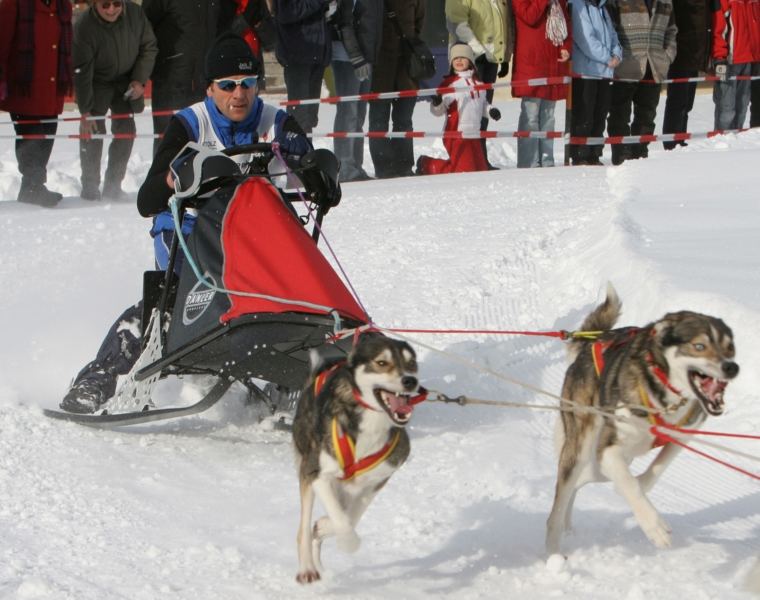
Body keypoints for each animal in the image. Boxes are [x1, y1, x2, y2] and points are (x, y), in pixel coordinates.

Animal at [292, 330, 424, 584]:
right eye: (382, 363)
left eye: (411, 363)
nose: (410, 381)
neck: (372, 423)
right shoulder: (318, 474)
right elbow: (343, 522)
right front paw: (347, 542)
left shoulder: (376, 481)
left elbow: (349, 518)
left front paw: (324, 526)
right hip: (308, 471)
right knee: (303, 528)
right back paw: (307, 568)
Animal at [548, 284, 740, 556]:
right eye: (699, 346)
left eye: (730, 347)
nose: (731, 367)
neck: (665, 395)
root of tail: (592, 343)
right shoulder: (609, 451)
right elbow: (630, 485)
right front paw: (654, 526)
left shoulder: (683, 435)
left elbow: (652, 472)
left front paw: (640, 483)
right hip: (581, 447)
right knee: (558, 504)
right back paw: (553, 553)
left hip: (603, 462)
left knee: (579, 484)